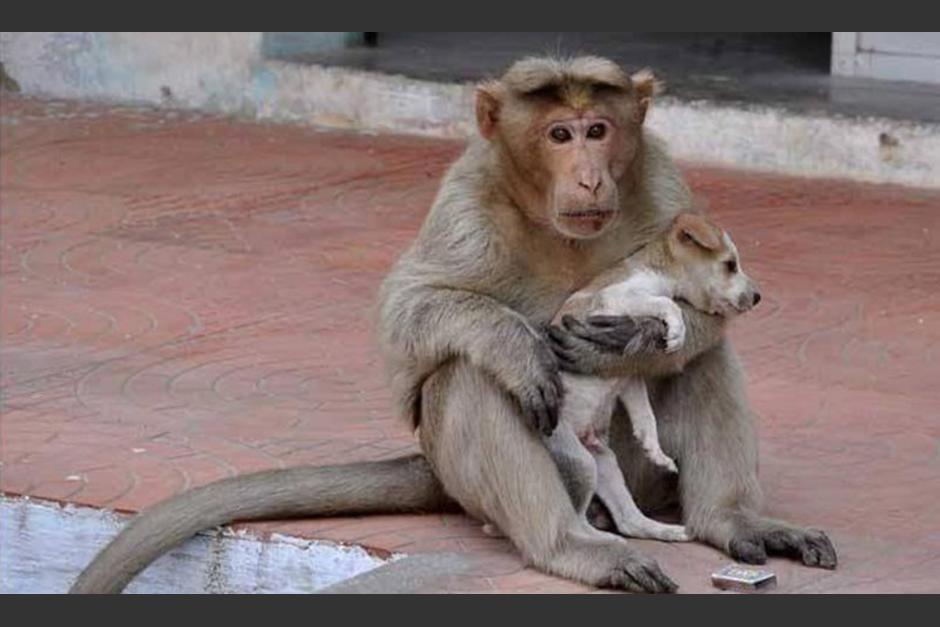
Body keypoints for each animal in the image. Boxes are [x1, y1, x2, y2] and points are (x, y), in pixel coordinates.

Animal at [69, 56, 836, 594]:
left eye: (599, 130)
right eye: (559, 134)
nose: (589, 176)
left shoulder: (664, 177)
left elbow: (694, 332)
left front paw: (647, 340)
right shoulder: (468, 197)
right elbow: (411, 312)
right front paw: (533, 346)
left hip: (632, 474)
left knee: (704, 365)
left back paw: (725, 521)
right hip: (502, 471)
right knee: (471, 378)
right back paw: (571, 544)